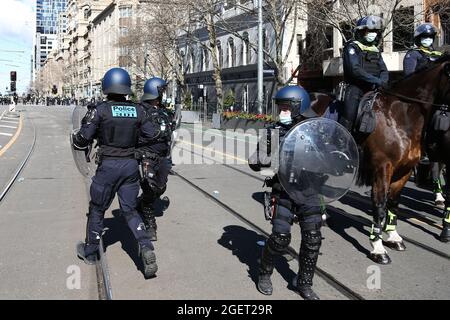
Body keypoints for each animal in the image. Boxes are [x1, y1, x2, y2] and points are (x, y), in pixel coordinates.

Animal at [308, 55, 450, 264]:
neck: (401, 118)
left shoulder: (405, 170)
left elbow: (393, 202)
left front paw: (393, 237)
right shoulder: (382, 167)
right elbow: (379, 204)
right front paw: (378, 248)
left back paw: (323, 215)